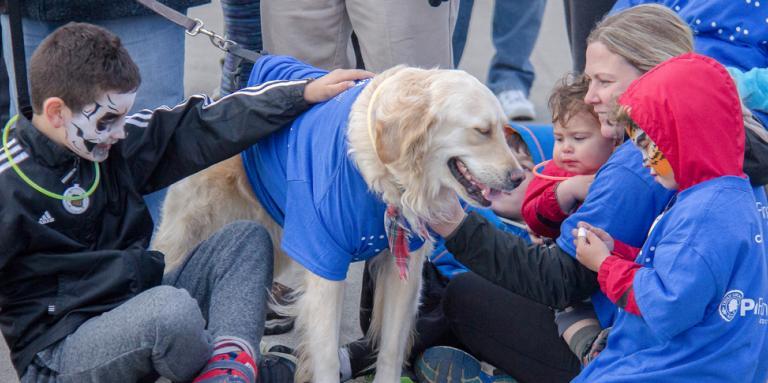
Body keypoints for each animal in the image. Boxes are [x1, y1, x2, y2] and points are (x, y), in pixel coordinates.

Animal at [156, 64, 528, 382]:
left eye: (504, 130)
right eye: (482, 131)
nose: (519, 178)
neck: (381, 173)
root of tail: (226, 92)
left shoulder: (403, 269)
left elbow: (391, 349)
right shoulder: (324, 264)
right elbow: (326, 358)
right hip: (190, 234)